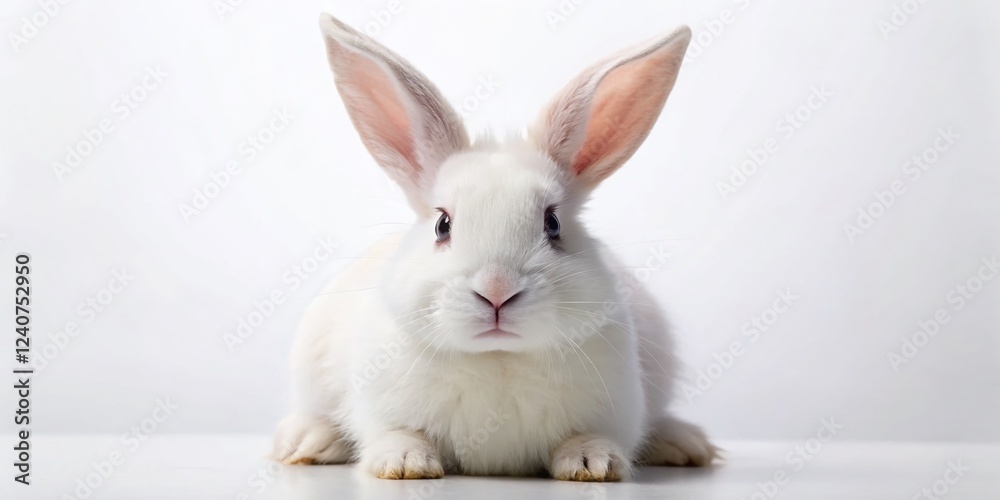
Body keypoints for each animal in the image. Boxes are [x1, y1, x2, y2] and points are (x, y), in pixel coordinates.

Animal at [271, 13, 718, 481]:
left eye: (553, 223)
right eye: (442, 225)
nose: (497, 291)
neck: (497, 356)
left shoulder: (614, 411)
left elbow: (591, 437)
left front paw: (592, 463)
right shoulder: (380, 408)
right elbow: (396, 434)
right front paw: (406, 463)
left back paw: (684, 443)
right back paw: (306, 441)